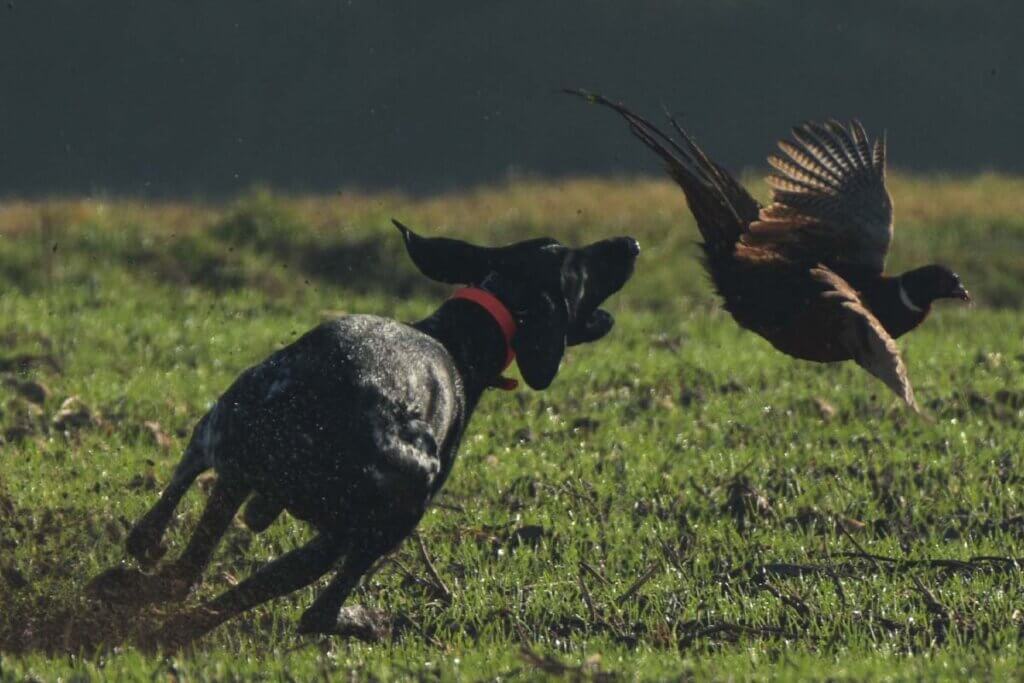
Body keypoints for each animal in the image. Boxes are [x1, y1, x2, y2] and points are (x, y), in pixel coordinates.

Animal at [92, 223, 634, 647]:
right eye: (579, 269)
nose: (629, 243)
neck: (458, 335)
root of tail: (309, 402)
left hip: (228, 421)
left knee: (180, 541)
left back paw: (142, 566)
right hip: (389, 511)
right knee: (311, 611)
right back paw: (364, 622)